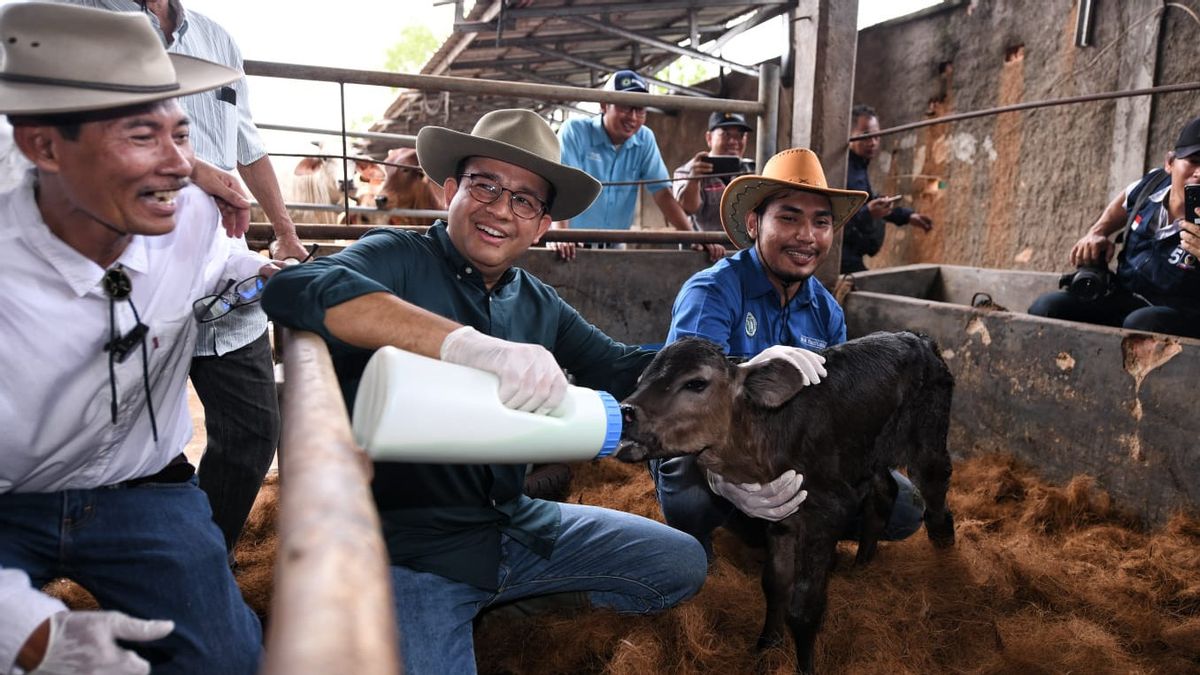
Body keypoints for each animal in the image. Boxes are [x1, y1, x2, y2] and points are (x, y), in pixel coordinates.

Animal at [619, 331, 955, 672]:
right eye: (641, 379)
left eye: (696, 383)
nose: (626, 411)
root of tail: (918, 338)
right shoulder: (781, 511)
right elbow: (775, 583)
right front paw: (766, 646)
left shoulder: (827, 511)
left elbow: (803, 608)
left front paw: (804, 666)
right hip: (868, 454)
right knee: (885, 491)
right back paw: (862, 566)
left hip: (928, 434)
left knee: (936, 496)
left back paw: (945, 562)